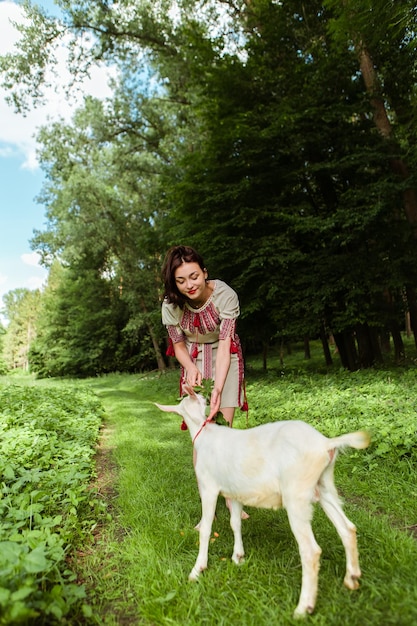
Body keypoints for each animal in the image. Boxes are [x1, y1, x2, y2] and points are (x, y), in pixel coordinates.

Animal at [154, 388, 368, 616]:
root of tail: (325, 444)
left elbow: (206, 529)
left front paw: (197, 570)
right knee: (347, 528)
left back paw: (303, 607)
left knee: (310, 550)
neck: (205, 434)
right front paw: (238, 557)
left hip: (296, 495)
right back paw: (352, 578)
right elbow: (235, 523)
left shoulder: (209, 487)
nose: (206, 394)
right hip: (324, 486)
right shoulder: (235, 492)